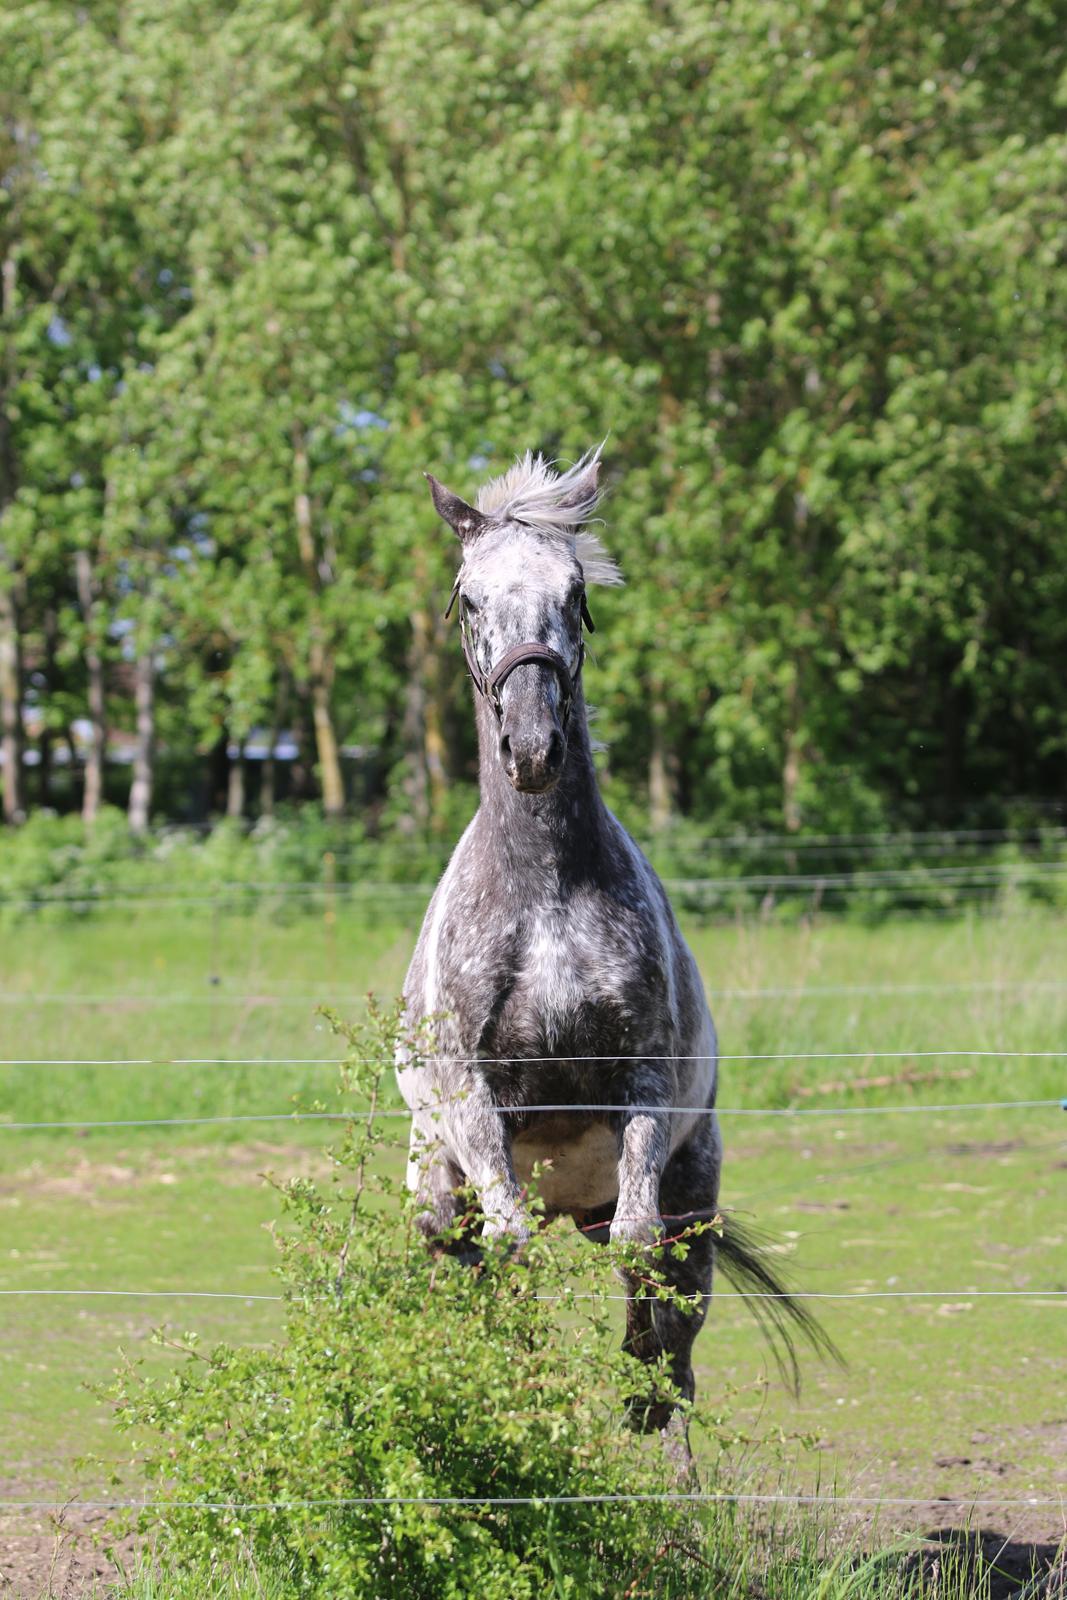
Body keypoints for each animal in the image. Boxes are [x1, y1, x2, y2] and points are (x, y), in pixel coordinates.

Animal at [398, 448, 825, 1427]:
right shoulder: (474, 1099)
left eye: (576, 590)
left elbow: (638, 1258)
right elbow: (507, 1249)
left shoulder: (642, 1084)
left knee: (673, 1309)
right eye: (468, 598)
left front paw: (636, 1388)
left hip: (692, 1188)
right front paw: (510, 1387)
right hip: (435, 1179)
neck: (548, 890)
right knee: (460, 1249)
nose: (531, 747)